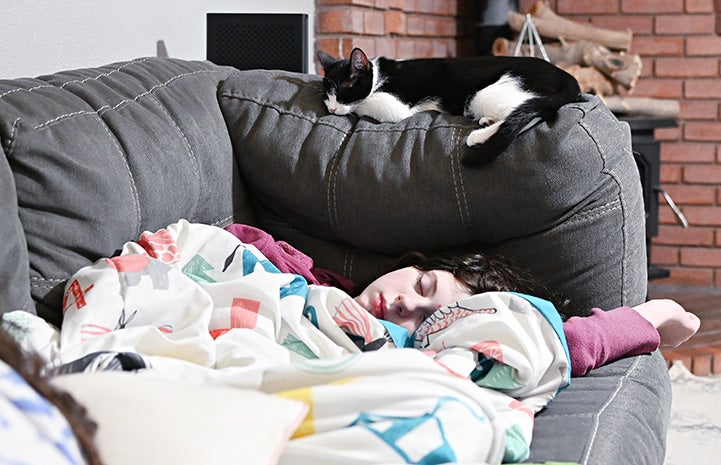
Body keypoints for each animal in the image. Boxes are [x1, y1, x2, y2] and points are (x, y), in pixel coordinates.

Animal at [316, 47, 580, 166]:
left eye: (343, 92)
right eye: (326, 97)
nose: (331, 110)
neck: (380, 75)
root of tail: (566, 77)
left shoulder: (395, 105)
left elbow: (364, 103)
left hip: (486, 93)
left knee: (529, 111)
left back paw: (479, 135)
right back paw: (487, 122)